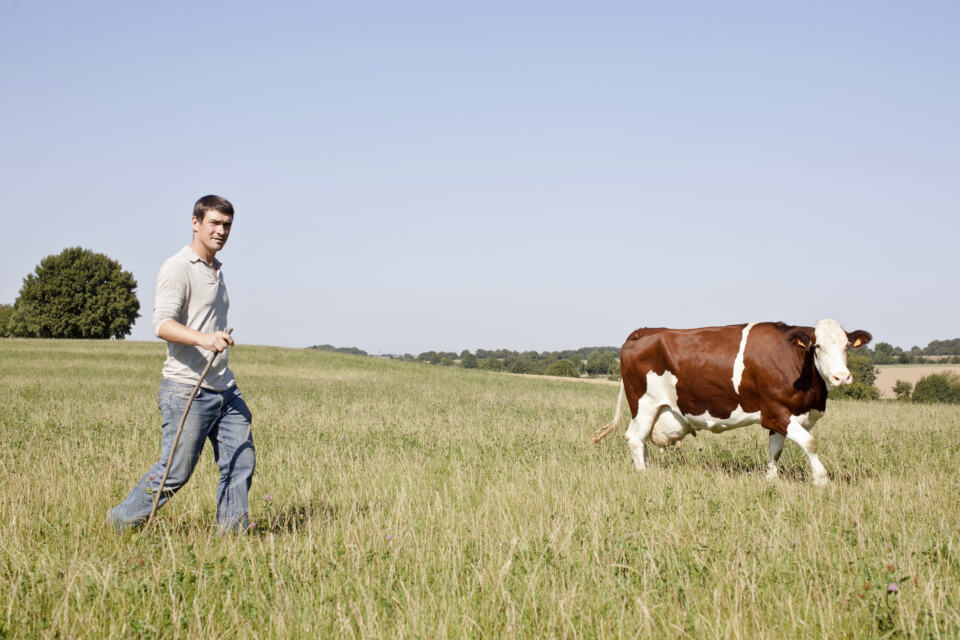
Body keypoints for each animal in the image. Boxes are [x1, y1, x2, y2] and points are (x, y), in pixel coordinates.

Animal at [592, 320, 872, 484]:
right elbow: (810, 443)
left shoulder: (783, 417)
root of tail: (645, 332)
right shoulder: (776, 412)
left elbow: (776, 450)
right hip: (645, 404)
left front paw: (772, 480)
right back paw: (643, 474)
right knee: (635, 438)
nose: (842, 376)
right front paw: (822, 480)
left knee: (642, 442)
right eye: (818, 346)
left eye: (847, 346)